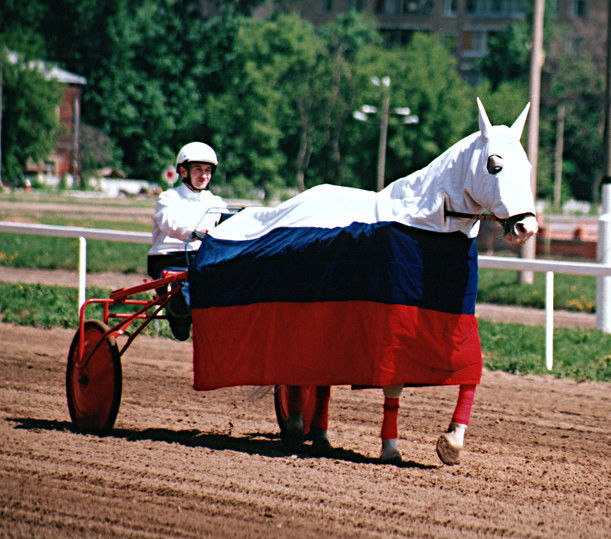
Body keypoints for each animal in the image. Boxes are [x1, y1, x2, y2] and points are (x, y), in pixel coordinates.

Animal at [189, 99, 536, 466]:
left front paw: (452, 442)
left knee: (320, 377)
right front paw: (391, 447)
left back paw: (320, 435)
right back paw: (297, 425)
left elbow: (470, 370)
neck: (427, 223)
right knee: (299, 370)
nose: (526, 226)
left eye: (527, 167)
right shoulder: (391, 327)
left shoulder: (450, 321)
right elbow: (393, 384)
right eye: (494, 165)